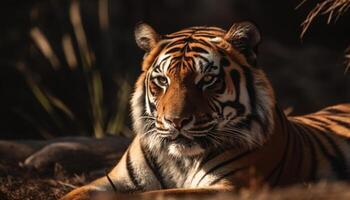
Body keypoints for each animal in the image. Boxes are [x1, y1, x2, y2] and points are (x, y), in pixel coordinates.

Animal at [61, 21, 350, 200]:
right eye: (162, 80)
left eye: (208, 80)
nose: (176, 121)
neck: (179, 161)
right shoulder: (113, 180)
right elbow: (74, 193)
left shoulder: (231, 187)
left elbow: (154, 196)